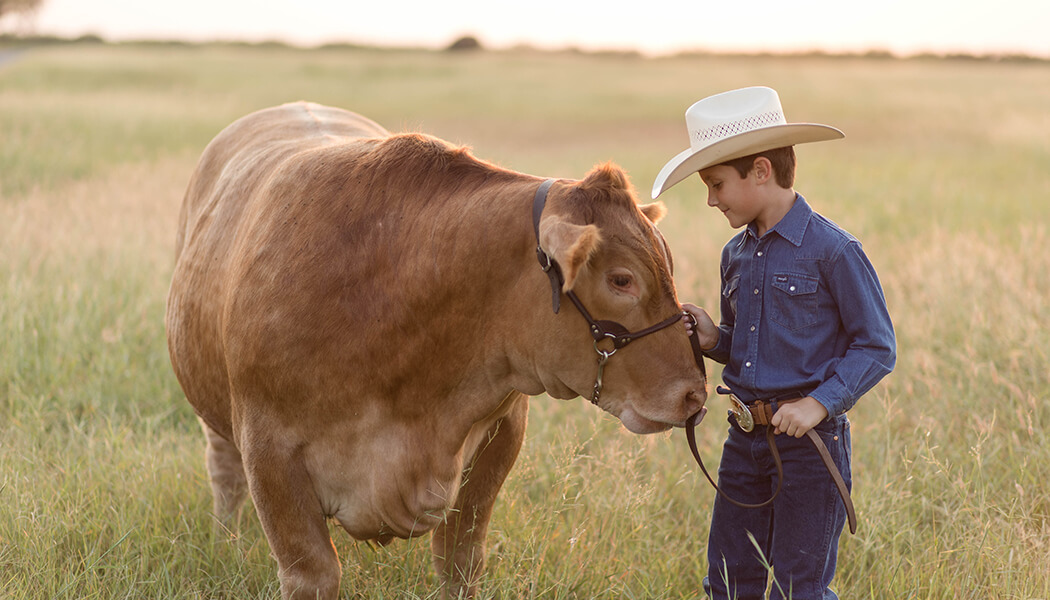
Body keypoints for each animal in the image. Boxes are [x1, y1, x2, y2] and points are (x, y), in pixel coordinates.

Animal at [161, 100, 705, 596]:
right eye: (622, 279)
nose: (693, 394)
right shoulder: (269, 450)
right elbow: (311, 574)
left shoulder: (501, 433)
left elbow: (461, 560)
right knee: (224, 476)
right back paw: (226, 542)